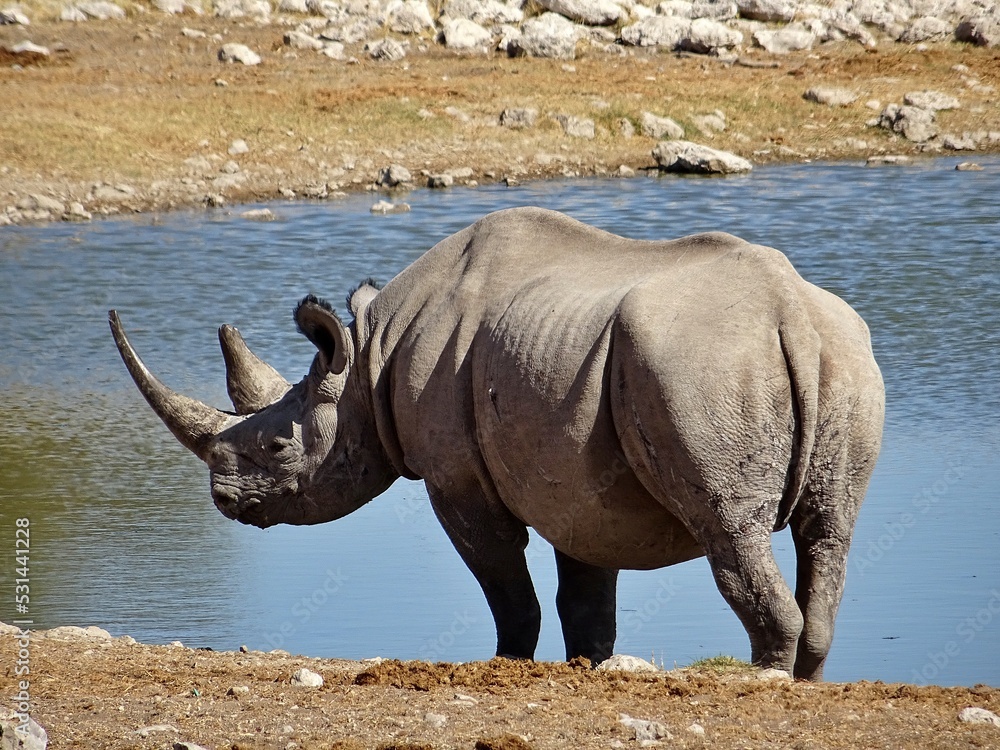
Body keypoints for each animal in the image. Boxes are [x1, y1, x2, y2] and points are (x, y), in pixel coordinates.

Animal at [110, 207, 884, 680]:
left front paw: (506, 664)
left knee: (730, 530)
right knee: (829, 530)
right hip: (845, 356)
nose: (223, 497)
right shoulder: (574, 476)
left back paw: (766, 679)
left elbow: (507, 586)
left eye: (274, 447)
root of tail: (792, 314)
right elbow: (585, 596)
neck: (365, 365)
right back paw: (806, 678)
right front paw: (589, 666)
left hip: (702, 368)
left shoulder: (455, 477)